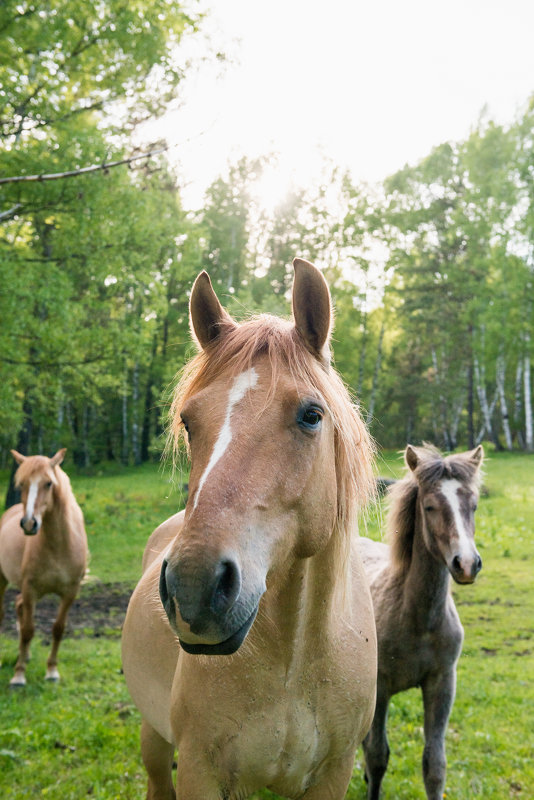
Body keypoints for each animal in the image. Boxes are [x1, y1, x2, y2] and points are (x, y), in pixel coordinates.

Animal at [0, 450, 88, 688]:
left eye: (48, 483)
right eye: (21, 484)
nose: (29, 524)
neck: (58, 546)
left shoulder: (70, 592)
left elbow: (58, 629)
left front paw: (52, 671)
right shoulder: (30, 589)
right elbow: (28, 631)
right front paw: (19, 675)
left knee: (18, 605)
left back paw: (26, 655)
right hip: (3, 581)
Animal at [123, 260, 378, 796]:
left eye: (311, 415)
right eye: (188, 421)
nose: (193, 587)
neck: (293, 663)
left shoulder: (335, 771)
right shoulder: (198, 770)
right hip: (154, 739)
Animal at [360, 444, 486, 800]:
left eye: (473, 504)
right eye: (429, 506)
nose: (466, 564)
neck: (418, 620)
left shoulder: (442, 683)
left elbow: (435, 765)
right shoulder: (380, 687)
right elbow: (377, 755)